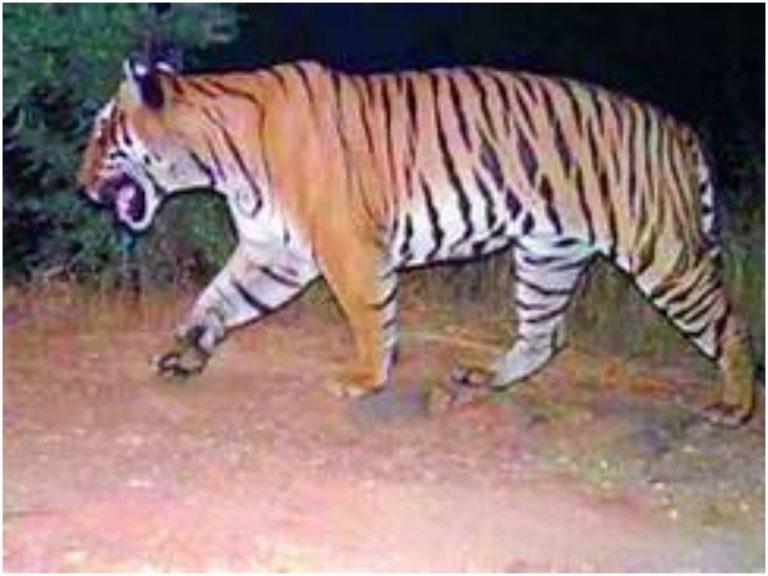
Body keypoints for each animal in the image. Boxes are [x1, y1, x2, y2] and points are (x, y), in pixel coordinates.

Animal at [78, 56, 755, 427]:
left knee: (729, 324)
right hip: (548, 255)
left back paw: (736, 406)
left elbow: (369, 317)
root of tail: (679, 127)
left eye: (103, 133)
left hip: (661, 252)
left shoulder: (346, 246)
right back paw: (480, 379)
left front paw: (364, 378)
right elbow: (217, 298)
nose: (81, 185)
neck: (217, 156)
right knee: (545, 335)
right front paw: (187, 352)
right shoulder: (276, 252)